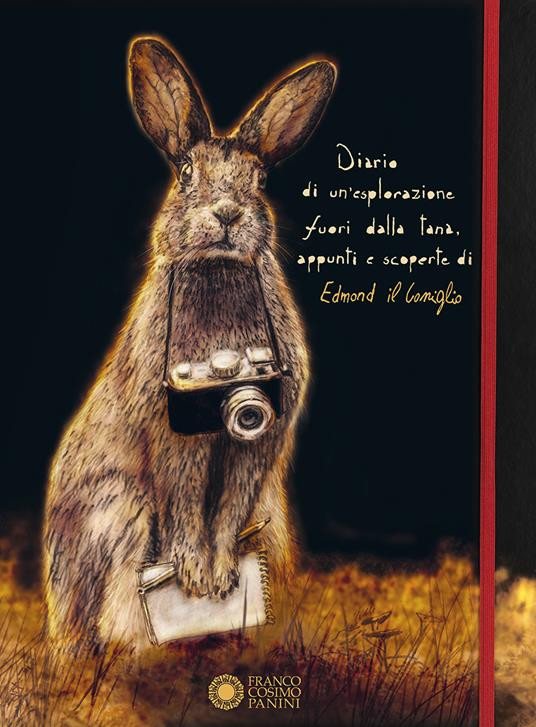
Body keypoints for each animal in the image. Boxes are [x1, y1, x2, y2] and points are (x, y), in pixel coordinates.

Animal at [43, 35, 337, 652]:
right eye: (184, 172)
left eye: (261, 179)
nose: (227, 213)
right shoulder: (178, 433)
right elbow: (185, 502)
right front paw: (198, 578)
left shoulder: (258, 440)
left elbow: (228, 509)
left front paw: (220, 577)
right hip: (120, 512)